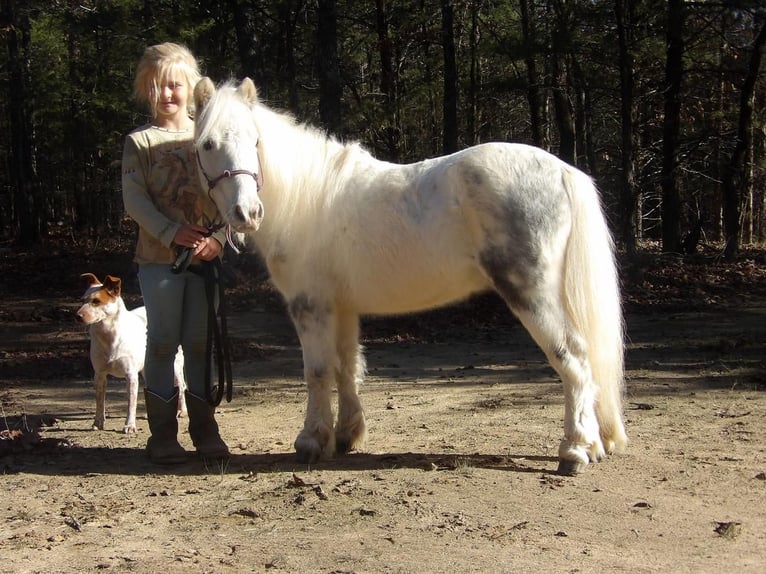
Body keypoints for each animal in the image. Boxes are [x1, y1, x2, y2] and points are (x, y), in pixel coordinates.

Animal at [76, 274, 188, 432]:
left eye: (96, 301)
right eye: (82, 300)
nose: (77, 316)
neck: (109, 335)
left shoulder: (131, 375)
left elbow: (131, 403)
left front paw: (129, 425)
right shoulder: (99, 375)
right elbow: (99, 402)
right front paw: (98, 422)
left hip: (175, 365)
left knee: (181, 386)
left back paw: (181, 411)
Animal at [194, 77, 632, 476]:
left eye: (255, 141)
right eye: (207, 145)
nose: (247, 213)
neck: (306, 198)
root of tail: (562, 171)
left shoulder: (311, 305)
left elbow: (317, 371)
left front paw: (311, 442)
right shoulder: (342, 307)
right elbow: (346, 366)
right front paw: (346, 435)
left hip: (532, 293)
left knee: (573, 357)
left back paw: (573, 452)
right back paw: (593, 444)